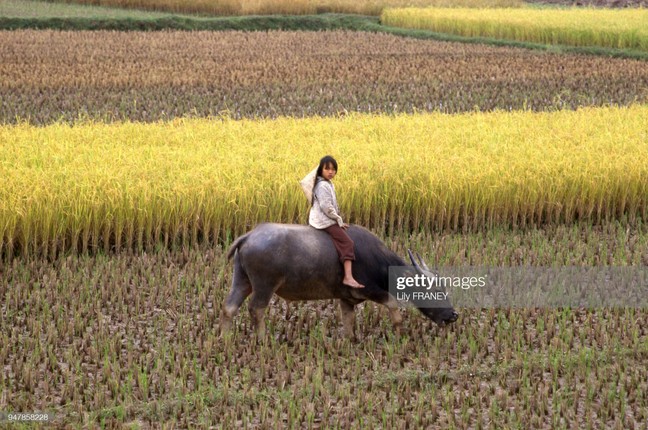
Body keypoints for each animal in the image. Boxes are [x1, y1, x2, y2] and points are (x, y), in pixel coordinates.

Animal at [220, 223, 458, 338]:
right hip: (264, 285)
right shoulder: (371, 290)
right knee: (256, 309)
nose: (452, 316)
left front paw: (349, 340)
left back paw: (226, 339)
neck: (376, 260)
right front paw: (400, 333)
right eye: (434, 292)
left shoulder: (346, 299)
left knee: (229, 307)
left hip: (241, 279)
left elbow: (348, 321)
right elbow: (393, 305)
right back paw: (263, 339)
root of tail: (249, 236)